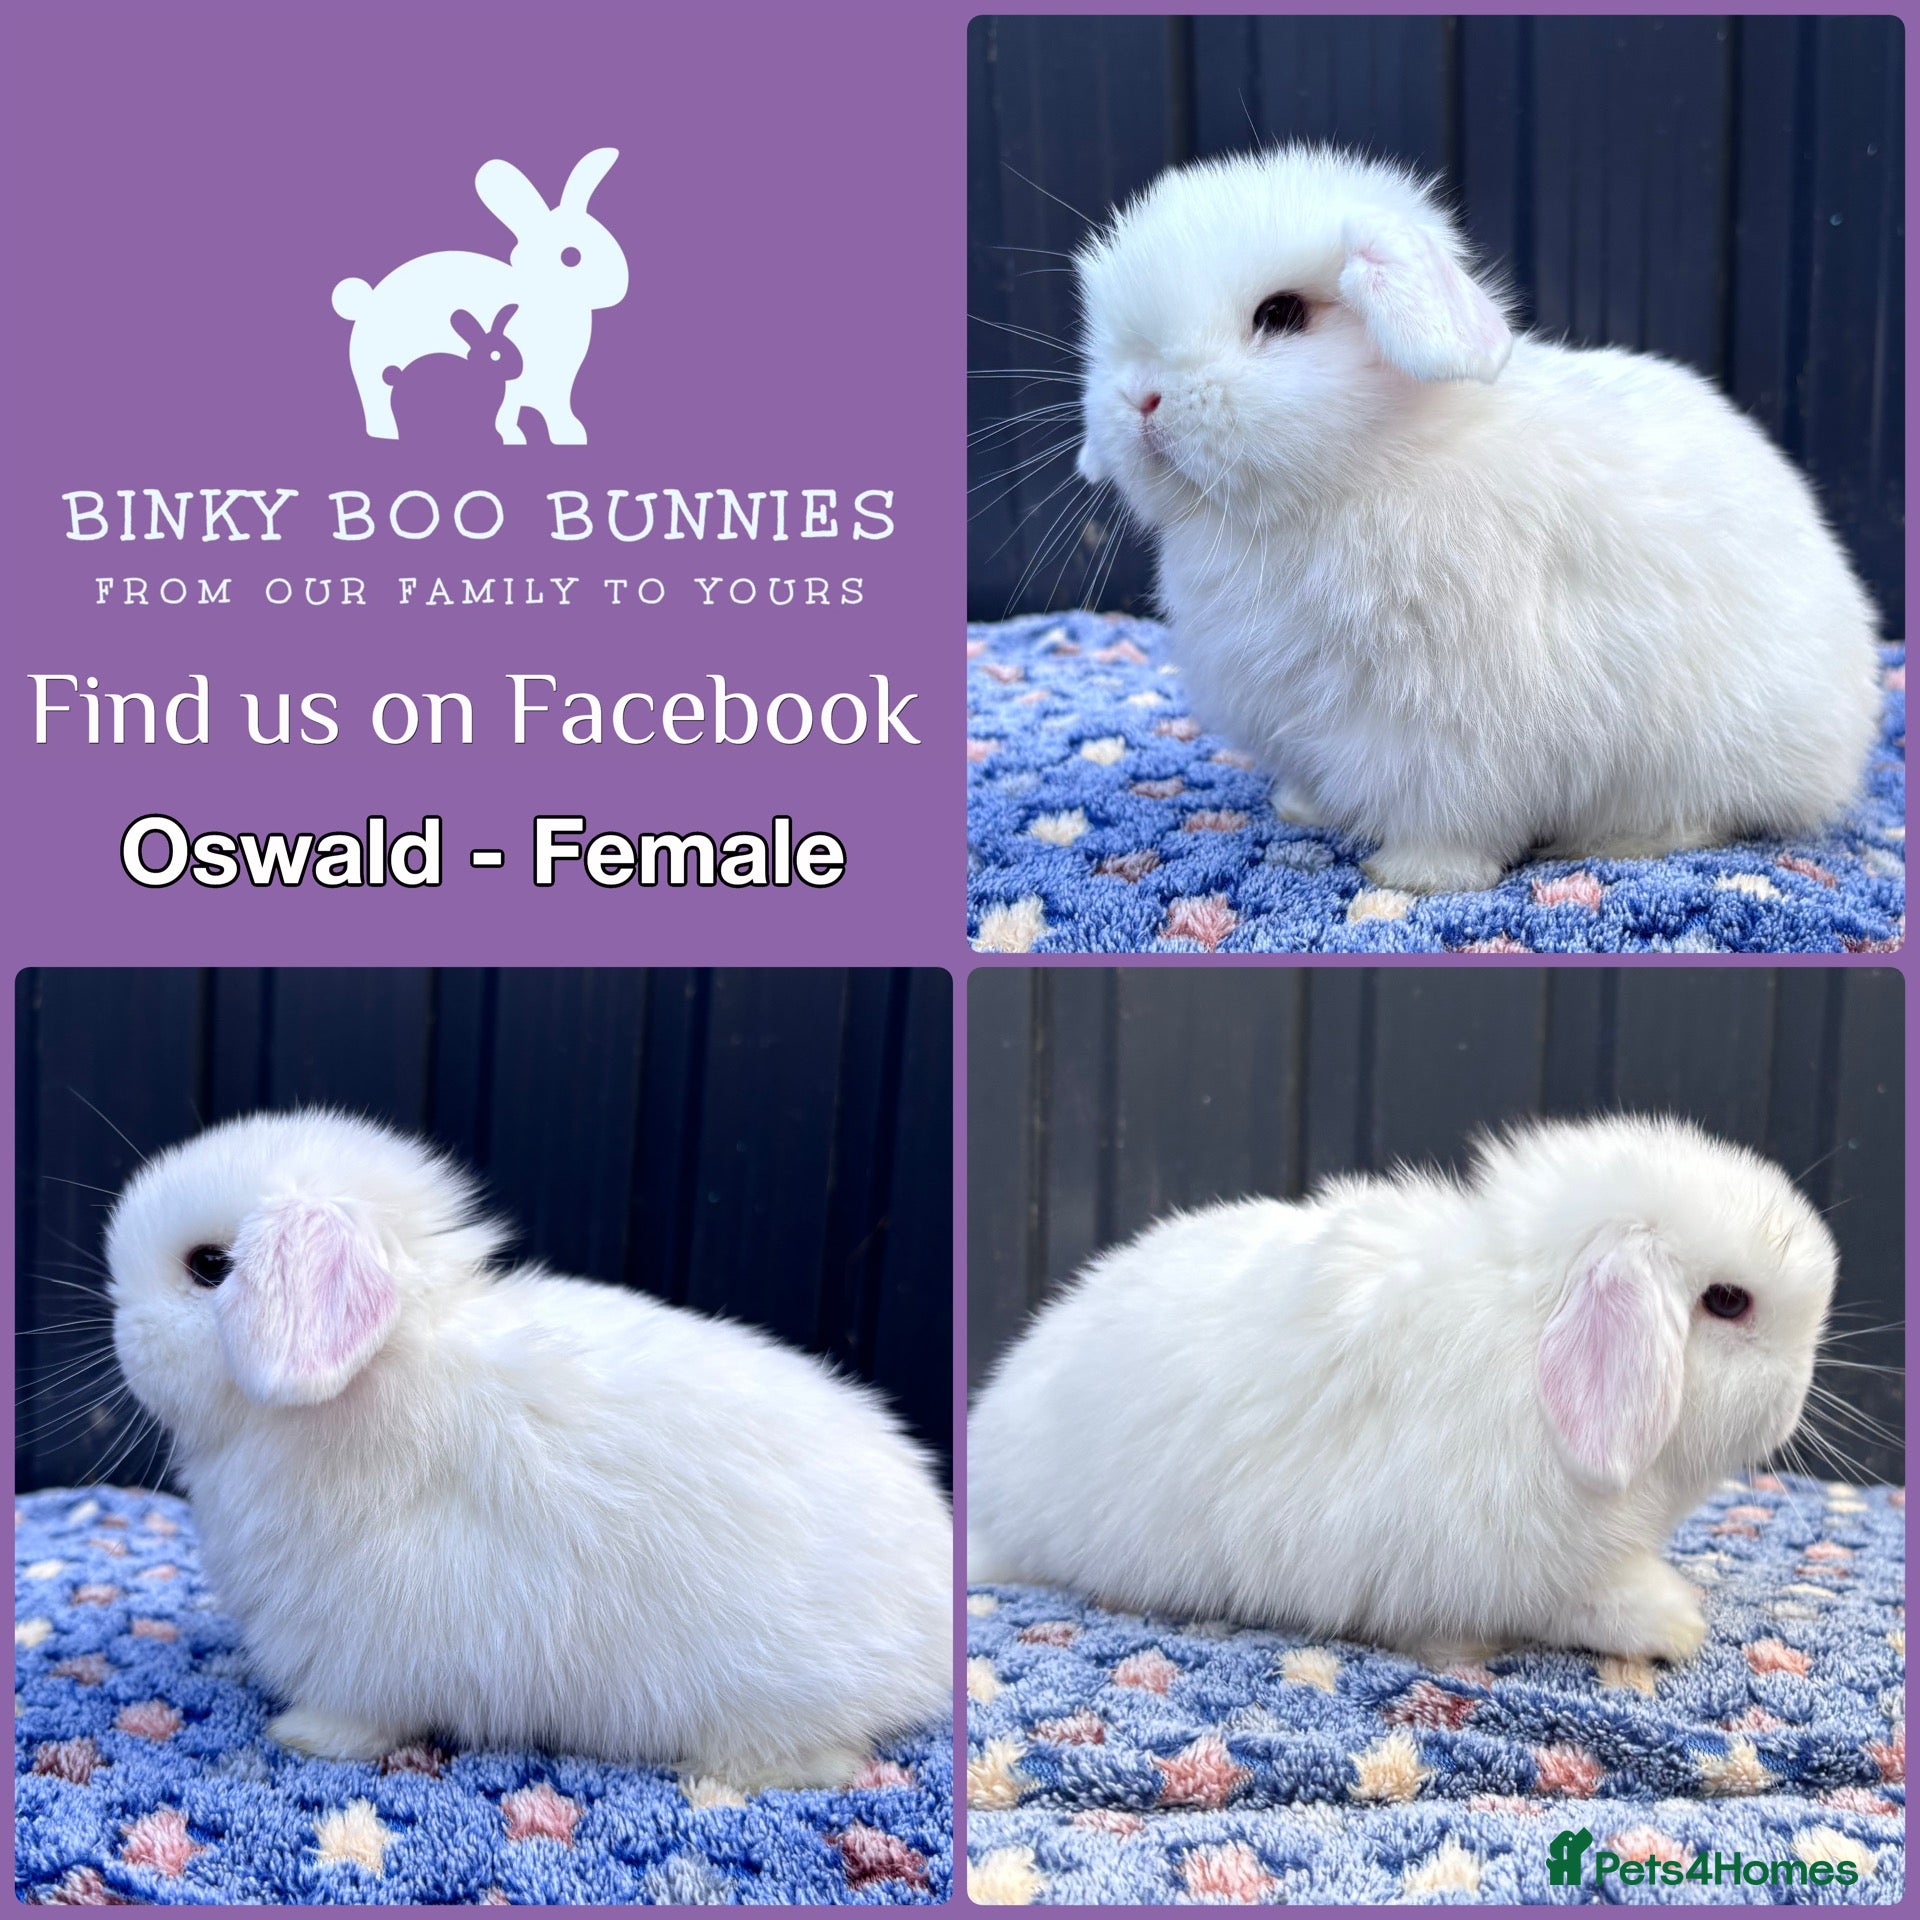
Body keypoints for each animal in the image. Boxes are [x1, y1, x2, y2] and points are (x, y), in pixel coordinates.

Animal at [106, 1109, 951, 1788]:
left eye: (209, 1266)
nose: (122, 1336)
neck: (391, 1367)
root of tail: (932, 1634)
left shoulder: (366, 1650)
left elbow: (359, 1717)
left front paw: (301, 1737)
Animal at [967, 1115, 1835, 1664]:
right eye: (1728, 1301)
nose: (1795, 1399)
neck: (1529, 1332)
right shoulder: (1505, 1563)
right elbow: (1577, 1604)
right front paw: (1673, 1624)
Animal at [1073, 145, 1881, 894]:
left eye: (1281, 314)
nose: (1141, 398)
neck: (1361, 473)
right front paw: (1302, 809)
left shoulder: (1449, 732)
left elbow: (1450, 814)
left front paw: (1416, 877)